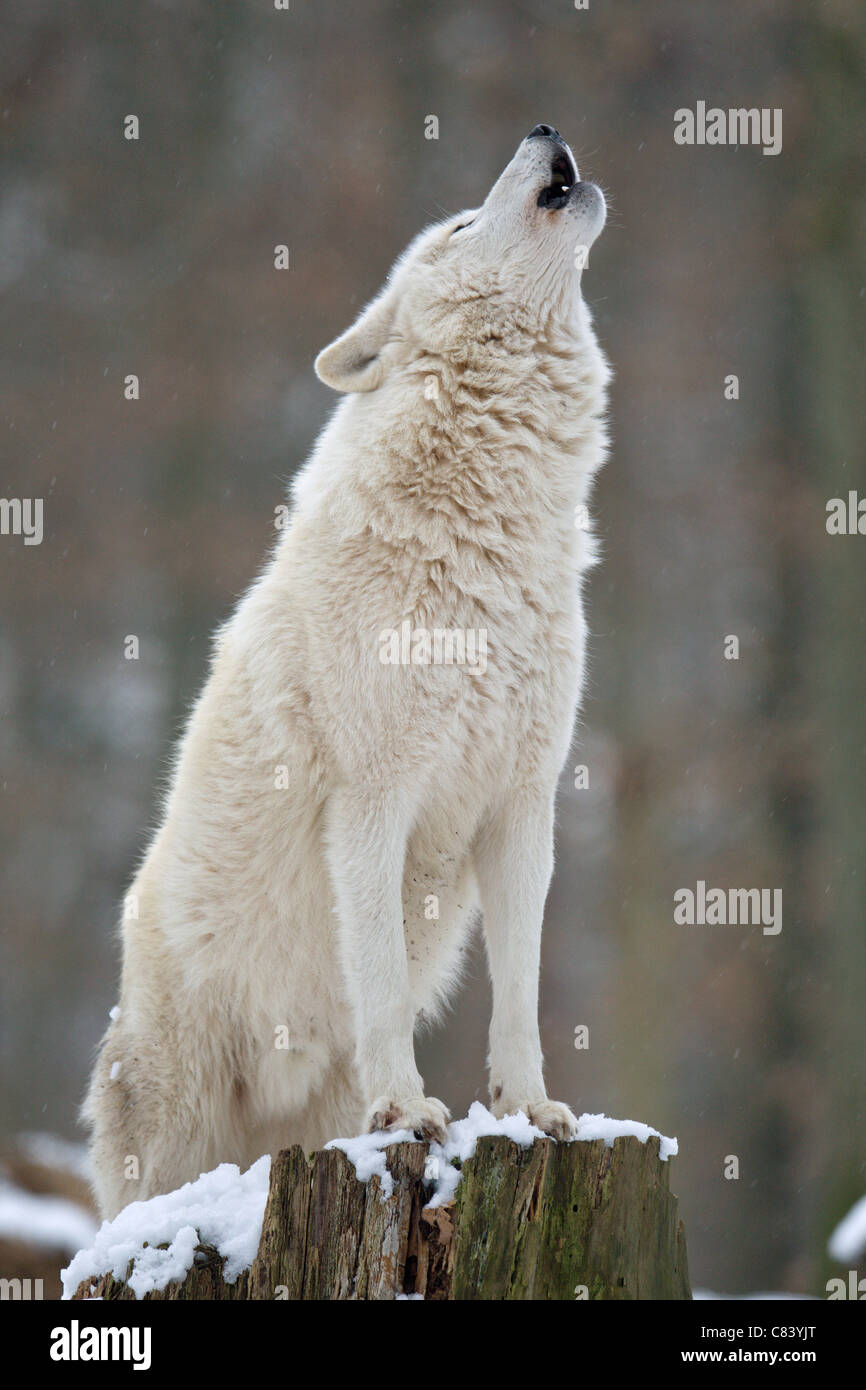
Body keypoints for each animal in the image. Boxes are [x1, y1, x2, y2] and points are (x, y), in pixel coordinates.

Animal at [83, 127, 608, 1217]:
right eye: (460, 222)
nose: (544, 130)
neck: (487, 532)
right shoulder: (373, 801)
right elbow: (380, 982)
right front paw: (406, 1110)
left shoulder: (524, 801)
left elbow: (520, 992)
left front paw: (531, 1111)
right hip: (169, 1133)